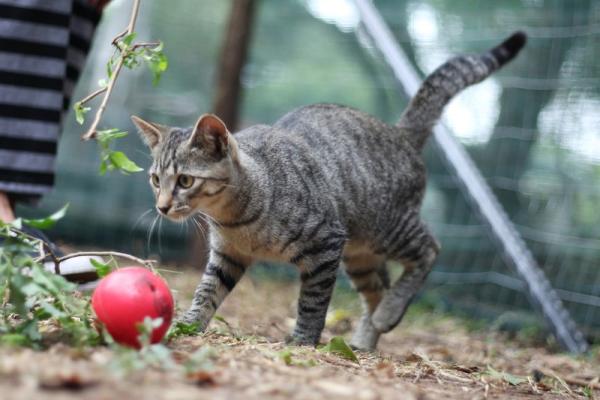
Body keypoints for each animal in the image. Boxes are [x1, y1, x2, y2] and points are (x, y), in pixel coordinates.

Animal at [134, 31, 528, 350]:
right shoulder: (227, 255)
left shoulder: (325, 242)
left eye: (185, 181)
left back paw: (388, 314)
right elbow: (207, 292)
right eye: (155, 180)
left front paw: (303, 340)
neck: (236, 219)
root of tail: (399, 132)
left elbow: (312, 302)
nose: (162, 207)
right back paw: (368, 337)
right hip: (360, 255)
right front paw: (186, 324)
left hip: (387, 228)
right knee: (379, 287)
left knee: (429, 249)